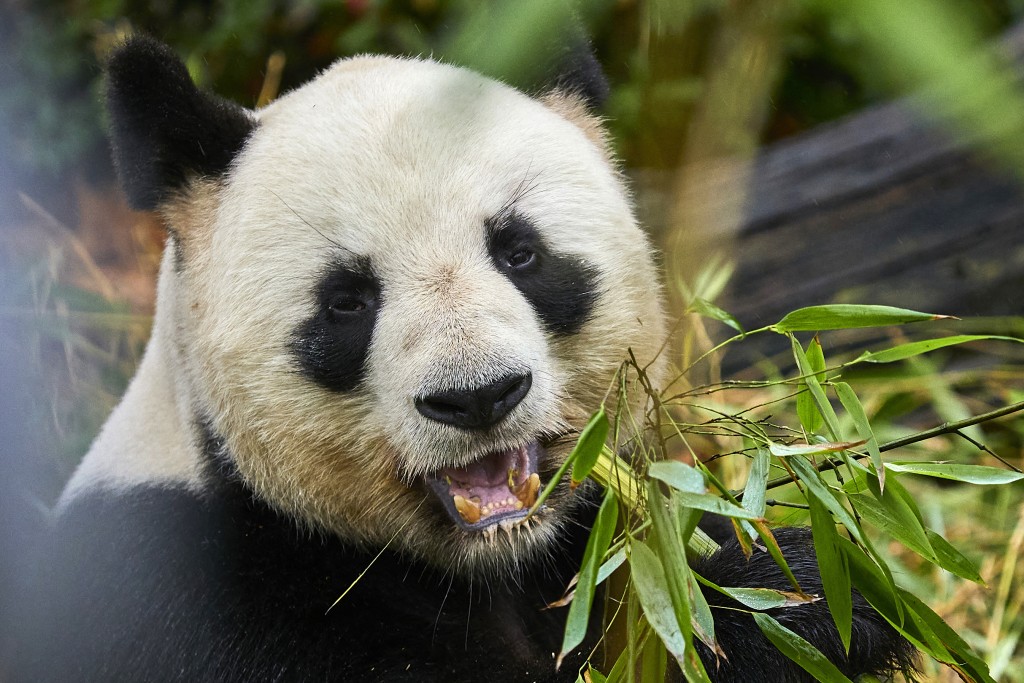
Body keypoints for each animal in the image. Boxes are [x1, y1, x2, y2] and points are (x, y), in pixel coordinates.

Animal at [13, 34, 915, 683]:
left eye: (520, 252)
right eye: (347, 300)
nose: (479, 396)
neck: (490, 562)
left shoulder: (593, 536)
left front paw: (819, 584)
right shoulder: (199, 601)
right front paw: (782, 609)